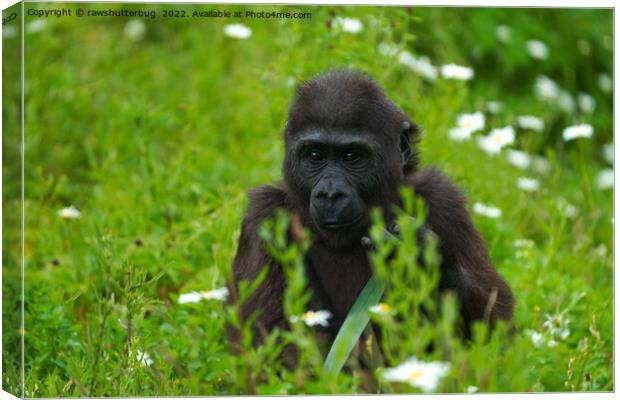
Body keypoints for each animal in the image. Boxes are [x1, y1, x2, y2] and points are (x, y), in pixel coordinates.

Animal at [228, 71, 512, 354]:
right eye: (315, 155)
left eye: (351, 156)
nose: (330, 194)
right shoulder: (263, 215)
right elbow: (265, 342)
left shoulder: (445, 201)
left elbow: (496, 324)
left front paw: (425, 257)